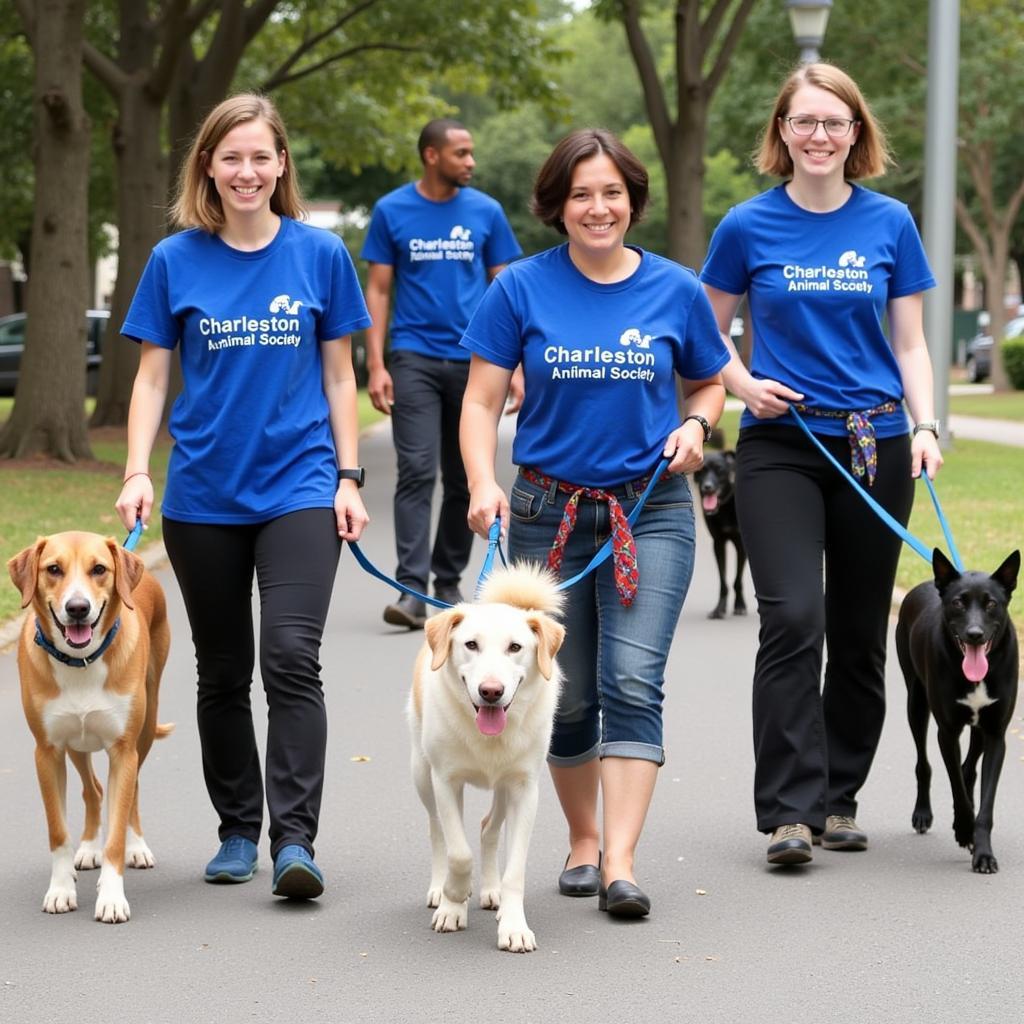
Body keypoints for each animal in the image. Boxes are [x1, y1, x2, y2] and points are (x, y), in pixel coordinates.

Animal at [7, 532, 172, 925]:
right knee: (93, 789)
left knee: (131, 790)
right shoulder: (47, 753)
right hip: (76, 744)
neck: (80, 661)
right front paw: (61, 889)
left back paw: (137, 847)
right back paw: (86, 850)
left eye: (99, 569)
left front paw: (111, 897)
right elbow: (57, 831)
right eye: (53, 569)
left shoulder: (124, 750)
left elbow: (116, 834)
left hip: (144, 730)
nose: (78, 608)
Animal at [407, 561, 569, 950]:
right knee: (436, 829)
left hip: (504, 787)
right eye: (470, 645)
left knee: (488, 828)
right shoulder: (446, 781)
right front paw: (453, 900)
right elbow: (459, 853)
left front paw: (513, 925)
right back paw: (440, 889)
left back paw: (491, 891)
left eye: (515, 647)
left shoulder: (526, 789)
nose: (491, 691)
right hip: (422, 774)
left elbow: (515, 870)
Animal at [692, 430, 749, 618]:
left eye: (719, 470)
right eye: (701, 470)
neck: (724, 506)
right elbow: (723, 581)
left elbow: (737, 579)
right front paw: (719, 608)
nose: (707, 487)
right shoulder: (718, 542)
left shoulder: (741, 545)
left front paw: (740, 605)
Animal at [897, 548, 1015, 876]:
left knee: (969, 767)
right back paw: (923, 813)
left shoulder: (996, 734)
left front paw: (983, 852)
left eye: (991, 603)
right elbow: (957, 790)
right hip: (916, 703)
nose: (974, 634)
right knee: (924, 764)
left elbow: (985, 802)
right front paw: (964, 829)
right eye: (958, 602)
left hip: (979, 727)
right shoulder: (947, 732)